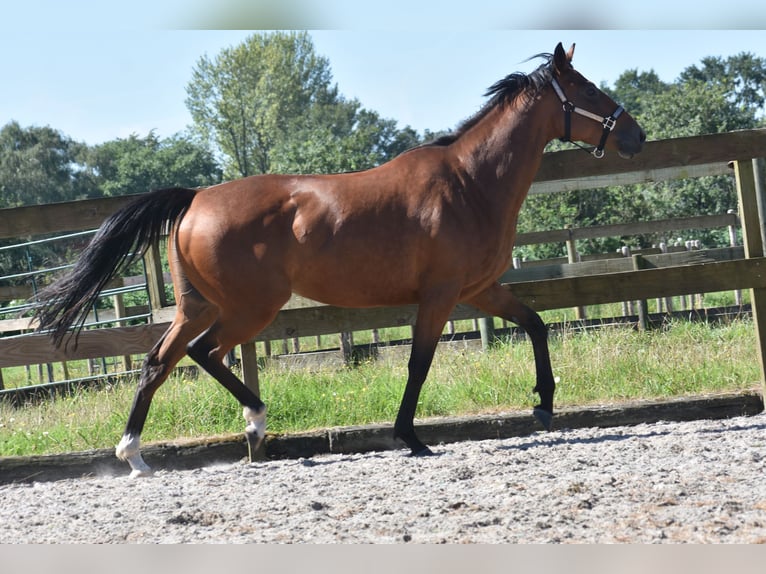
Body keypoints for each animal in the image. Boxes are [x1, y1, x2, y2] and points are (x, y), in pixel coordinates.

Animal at [36, 44, 648, 476]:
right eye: (588, 89)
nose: (637, 136)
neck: (471, 184)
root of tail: (195, 198)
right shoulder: (442, 294)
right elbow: (419, 362)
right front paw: (411, 437)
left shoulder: (479, 289)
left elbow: (536, 324)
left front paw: (544, 406)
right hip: (249, 308)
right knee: (204, 354)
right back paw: (255, 421)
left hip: (198, 306)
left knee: (158, 362)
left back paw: (136, 454)